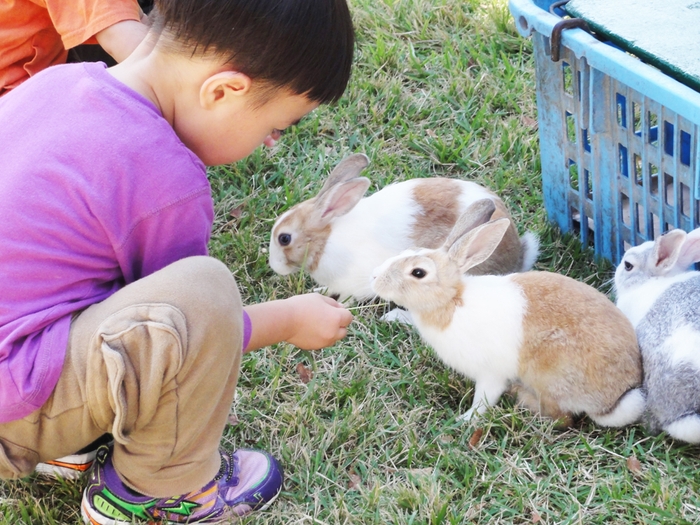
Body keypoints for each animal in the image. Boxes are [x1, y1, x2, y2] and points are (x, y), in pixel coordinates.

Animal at [372, 210, 644, 426]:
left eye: (418, 272)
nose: (376, 278)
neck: (451, 301)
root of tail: (617, 396)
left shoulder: (490, 373)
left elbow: (484, 399)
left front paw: (464, 420)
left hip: (548, 373)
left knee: (562, 418)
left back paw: (521, 397)